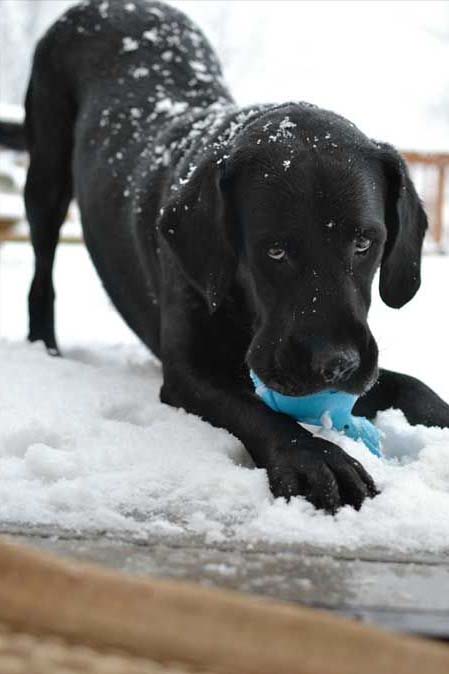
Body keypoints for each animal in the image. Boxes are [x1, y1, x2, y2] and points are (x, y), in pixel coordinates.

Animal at [1, 0, 446, 510]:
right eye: (274, 250)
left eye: (364, 242)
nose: (334, 364)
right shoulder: (188, 372)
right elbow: (256, 410)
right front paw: (315, 458)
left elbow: (412, 385)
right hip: (46, 176)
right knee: (42, 273)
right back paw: (46, 348)